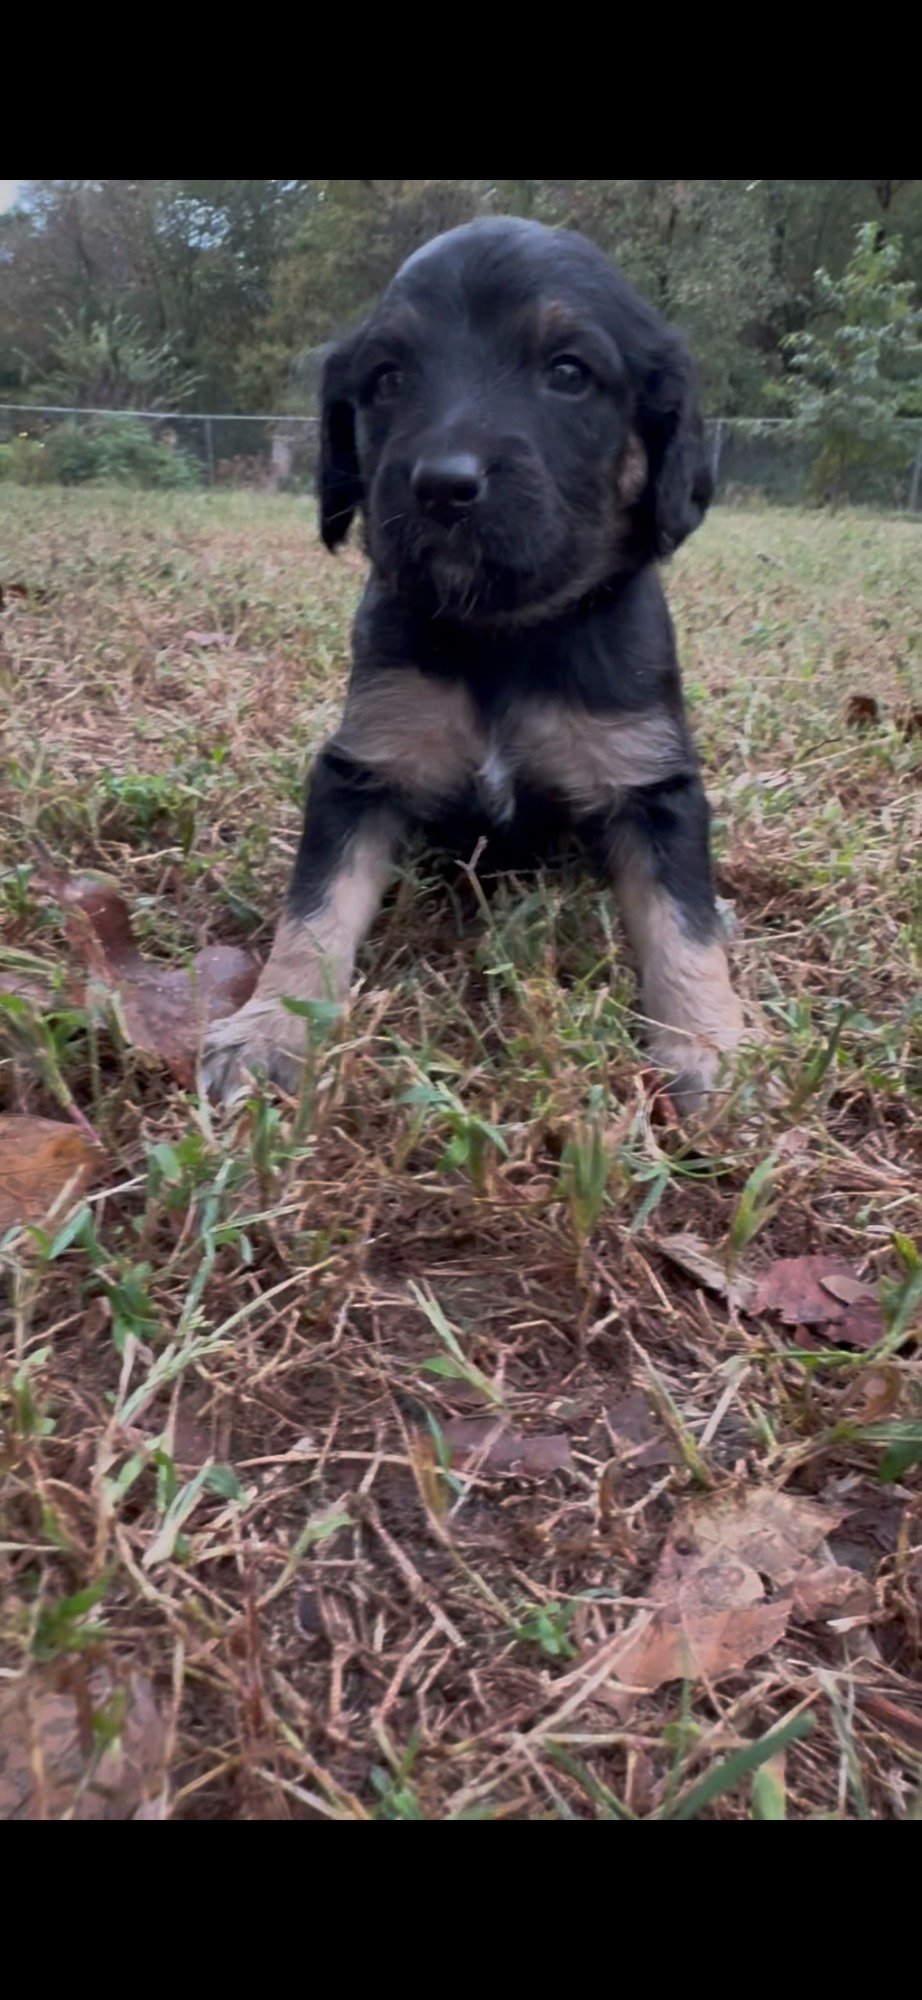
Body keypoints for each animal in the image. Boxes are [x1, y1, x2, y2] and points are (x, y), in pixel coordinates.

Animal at [202, 216, 747, 1112]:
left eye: (568, 372)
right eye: (388, 378)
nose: (442, 486)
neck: (504, 635)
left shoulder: (653, 782)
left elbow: (682, 922)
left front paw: (708, 1045)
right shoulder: (363, 766)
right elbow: (314, 910)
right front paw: (269, 1027)